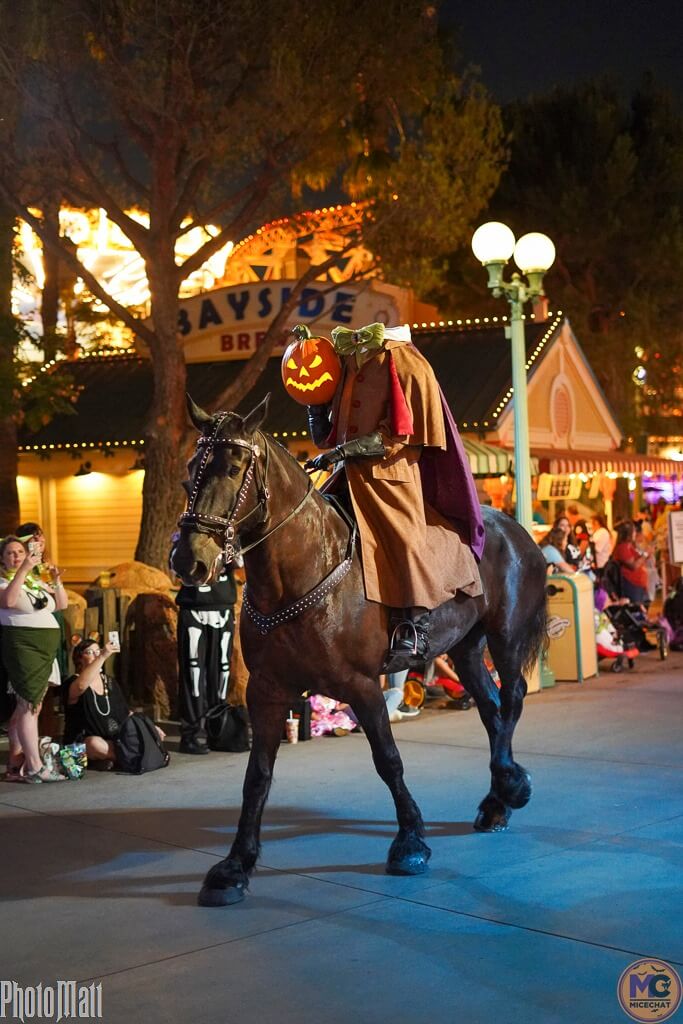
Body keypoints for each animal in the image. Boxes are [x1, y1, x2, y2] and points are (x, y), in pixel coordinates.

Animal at [174, 395, 548, 909]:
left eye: (233, 469)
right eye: (192, 469)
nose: (187, 560)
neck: (302, 574)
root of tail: (514, 528)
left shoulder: (362, 686)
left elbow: (388, 761)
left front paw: (410, 842)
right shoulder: (266, 694)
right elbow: (257, 777)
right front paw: (234, 867)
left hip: (504, 637)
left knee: (511, 701)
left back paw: (511, 785)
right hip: (467, 647)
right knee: (491, 710)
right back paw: (496, 802)